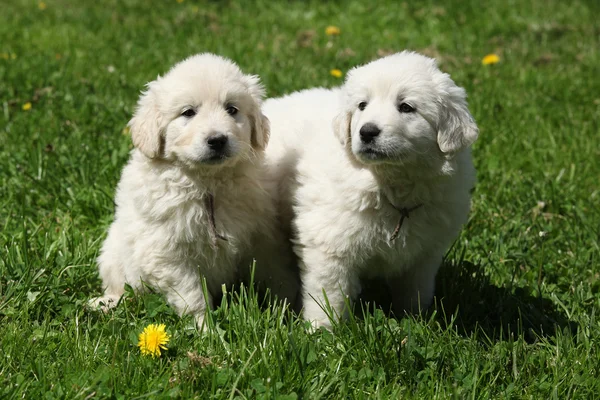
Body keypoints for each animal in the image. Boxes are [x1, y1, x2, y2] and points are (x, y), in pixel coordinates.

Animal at [89, 53, 300, 328]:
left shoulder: (262, 238)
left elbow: (277, 275)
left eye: (232, 109)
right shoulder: (169, 254)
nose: (217, 140)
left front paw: (288, 314)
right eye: (188, 112)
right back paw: (106, 303)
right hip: (113, 254)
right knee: (120, 287)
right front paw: (205, 329)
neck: (208, 183)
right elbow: (192, 295)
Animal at [264, 51, 480, 330]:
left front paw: (415, 320)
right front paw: (322, 331)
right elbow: (328, 294)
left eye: (406, 107)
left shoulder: (424, 253)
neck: (391, 186)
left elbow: (415, 289)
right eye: (362, 105)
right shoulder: (329, 245)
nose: (367, 132)